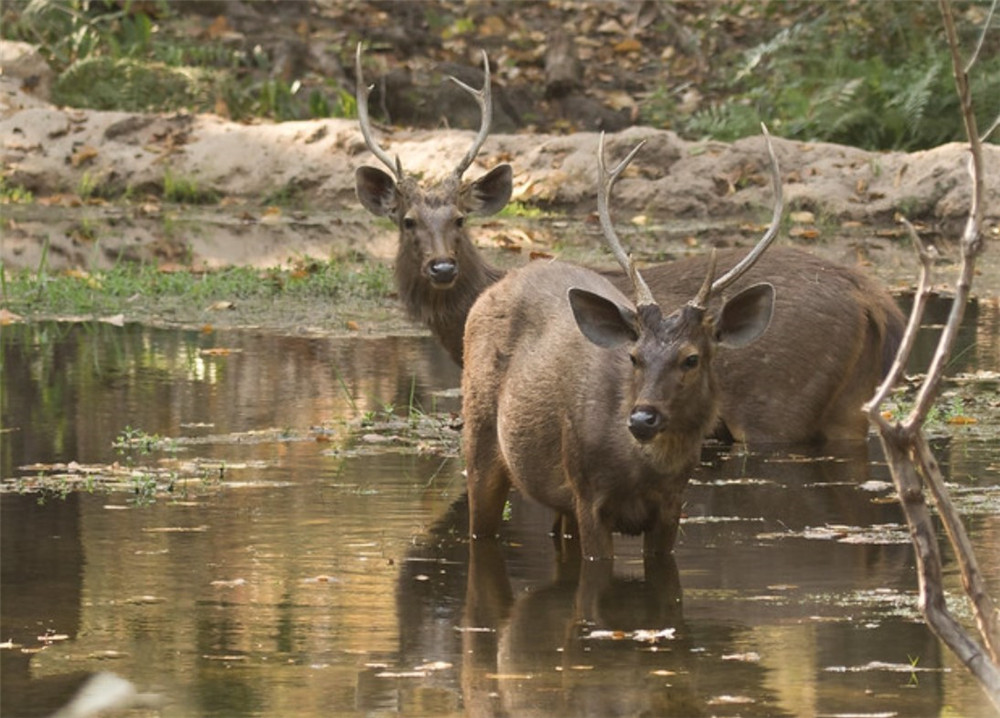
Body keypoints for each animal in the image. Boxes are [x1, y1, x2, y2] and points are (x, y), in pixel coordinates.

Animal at [354, 46, 908, 444]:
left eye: (461, 219)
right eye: (407, 221)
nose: (442, 267)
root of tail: (874, 297)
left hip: (778, 403)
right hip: (848, 403)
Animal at [460, 136, 780, 564]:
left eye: (691, 358)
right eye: (634, 357)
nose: (642, 418)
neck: (639, 471)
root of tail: (490, 290)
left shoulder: (671, 507)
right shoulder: (588, 494)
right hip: (479, 436)